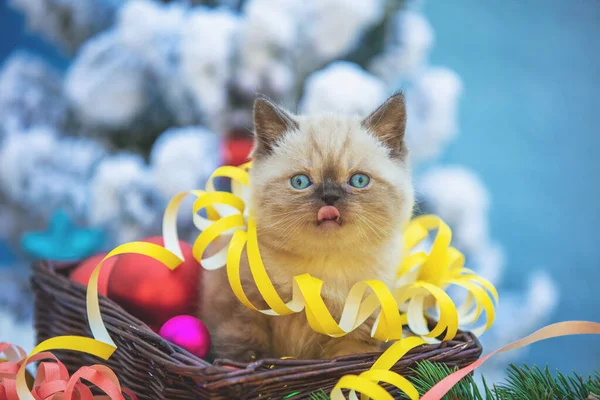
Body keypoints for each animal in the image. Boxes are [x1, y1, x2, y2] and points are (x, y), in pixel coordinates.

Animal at [199, 94, 414, 362]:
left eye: (359, 180)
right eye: (300, 182)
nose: (330, 197)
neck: (324, 266)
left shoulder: (357, 332)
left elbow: (350, 357)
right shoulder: (242, 307)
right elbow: (246, 346)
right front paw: (250, 362)